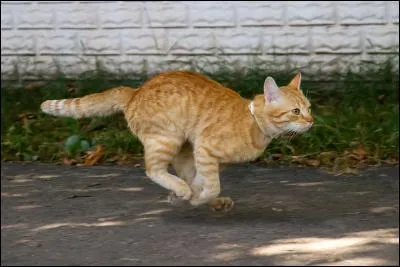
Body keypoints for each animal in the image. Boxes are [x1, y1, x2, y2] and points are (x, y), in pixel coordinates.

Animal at [41, 70, 312, 211]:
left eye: (309, 108)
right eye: (295, 111)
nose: (311, 121)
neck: (253, 121)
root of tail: (135, 91)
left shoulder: (206, 158)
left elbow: (202, 180)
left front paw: (193, 196)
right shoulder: (205, 148)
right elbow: (211, 185)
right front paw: (195, 197)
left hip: (182, 148)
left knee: (181, 174)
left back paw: (195, 197)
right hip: (166, 139)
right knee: (153, 169)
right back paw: (183, 191)